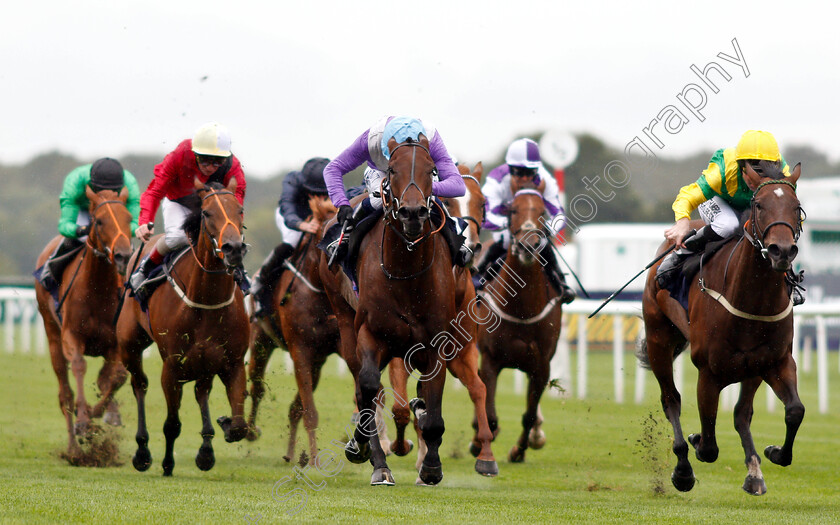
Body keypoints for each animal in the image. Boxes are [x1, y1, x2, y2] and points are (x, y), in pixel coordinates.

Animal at [34, 186, 133, 456]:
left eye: (129, 218)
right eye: (99, 221)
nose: (123, 255)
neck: (97, 291)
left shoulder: (114, 344)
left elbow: (117, 376)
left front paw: (97, 413)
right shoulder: (71, 335)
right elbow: (79, 366)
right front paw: (83, 421)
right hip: (52, 335)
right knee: (64, 394)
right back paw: (73, 449)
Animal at [117, 176, 249, 474]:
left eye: (240, 210)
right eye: (207, 213)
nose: (234, 248)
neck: (207, 299)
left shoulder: (232, 362)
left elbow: (239, 426)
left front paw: (221, 429)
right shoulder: (172, 366)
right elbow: (172, 424)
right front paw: (166, 463)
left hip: (204, 363)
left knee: (201, 392)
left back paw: (207, 446)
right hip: (130, 345)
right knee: (140, 384)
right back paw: (142, 451)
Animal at [476, 186, 560, 460]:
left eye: (542, 211)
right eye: (513, 210)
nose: (528, 245)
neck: (521, 309)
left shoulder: (541, 366)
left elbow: (529, 415)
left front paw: (519, 450)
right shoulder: (490, 360)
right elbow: (490, 415)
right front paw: (479, 444)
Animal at [644, 162, 808, 494]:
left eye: (796, 206)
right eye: (759, 206)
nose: (782, 251)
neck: (752, 300)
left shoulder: (776, 362)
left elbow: (794, 411)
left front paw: (774, 453)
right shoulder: (709, 373)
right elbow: (708, 446)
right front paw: (694, 444)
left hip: (752, 369)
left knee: (742, 414)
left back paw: (754, 472)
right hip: (658, 339)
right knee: (671, 400)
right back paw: (683, 467)